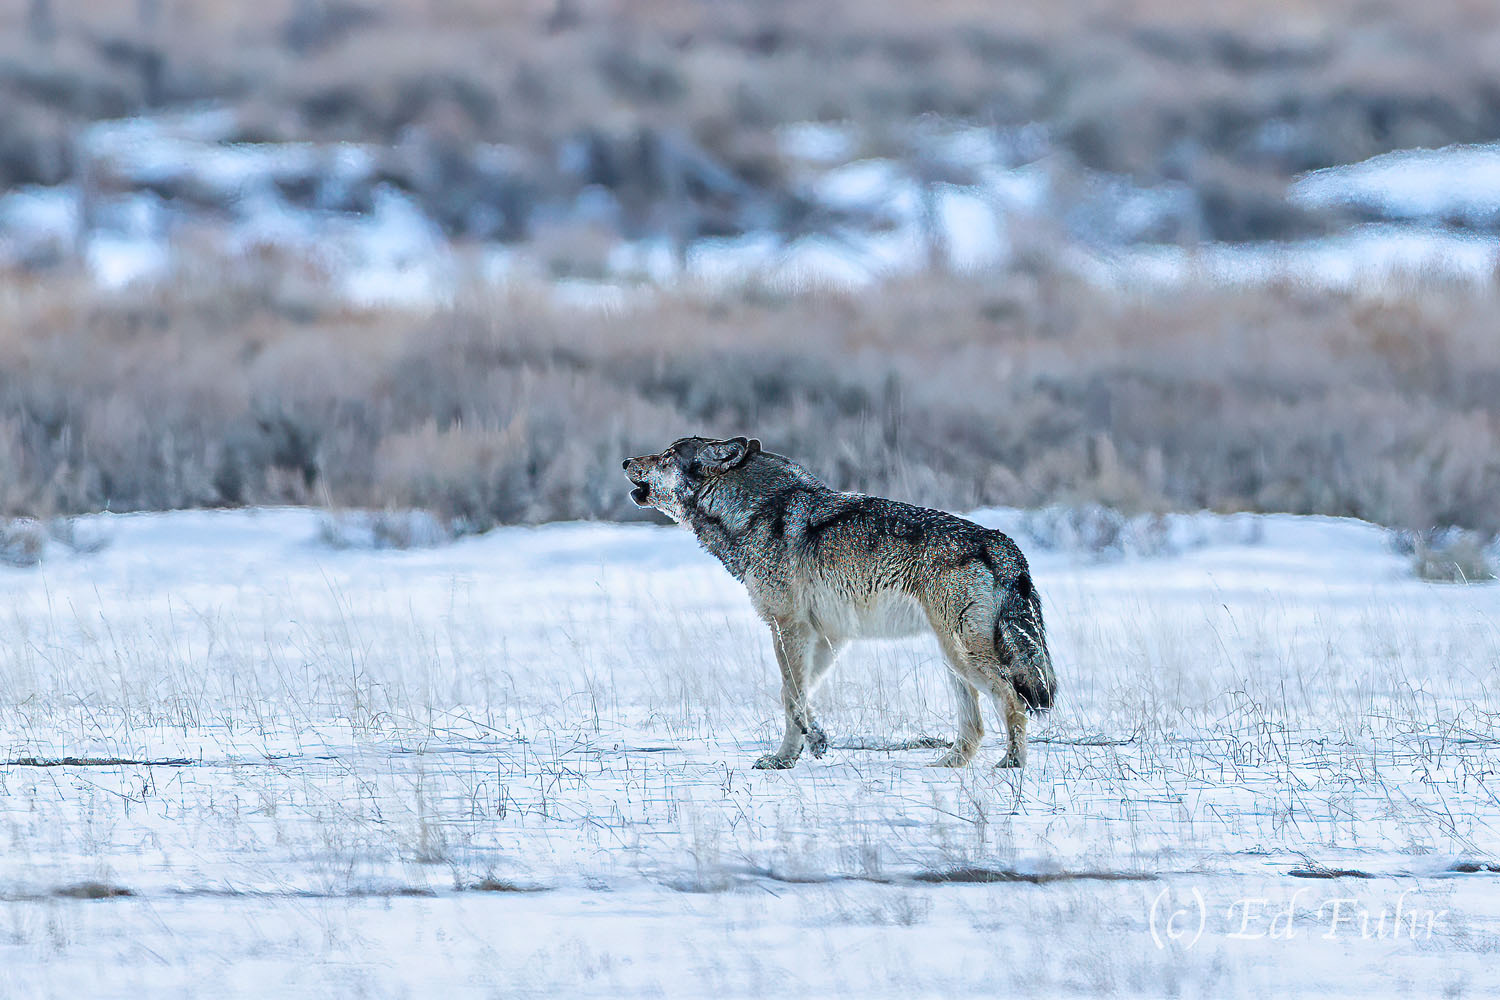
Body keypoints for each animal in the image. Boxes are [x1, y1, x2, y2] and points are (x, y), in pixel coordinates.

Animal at [623, 436, 1057, 769]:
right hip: (951, 660)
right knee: (977, 725)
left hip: (963, 655)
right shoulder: (827, 637)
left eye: (666, 455)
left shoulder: (789, 627)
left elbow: (791, 696)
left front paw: (782, 760)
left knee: (1014, 702)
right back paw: (948, 764)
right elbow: (796, 695)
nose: (626, 460)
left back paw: (1011, 764)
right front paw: (810, 743)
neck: (757, 512)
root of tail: (1004, 545)